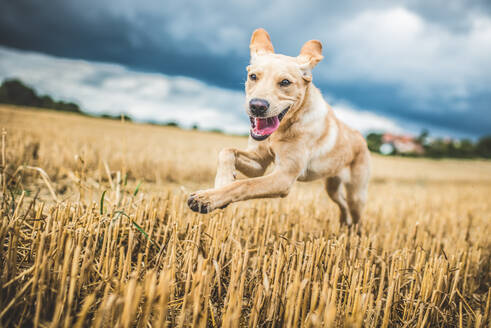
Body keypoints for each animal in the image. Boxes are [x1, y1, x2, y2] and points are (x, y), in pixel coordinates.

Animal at [187, 28, 368, 226]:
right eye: (253, 76)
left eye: (285, 82)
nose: (257, 106)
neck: (280, 130)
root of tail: (362, 139)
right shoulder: (258, 163)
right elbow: (226, 151)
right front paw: (221, 183)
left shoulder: (284, 176)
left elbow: (244, 184)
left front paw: (207, 199)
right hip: (332, 186)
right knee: (341, 203)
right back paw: (343, 223)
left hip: (356, 194)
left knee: (356, 215)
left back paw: (354, 231)